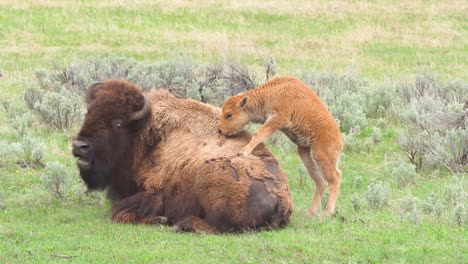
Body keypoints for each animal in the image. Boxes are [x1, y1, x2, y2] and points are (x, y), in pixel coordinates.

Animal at [72, 79, 292, 233]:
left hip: (210, 178)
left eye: (118, 123)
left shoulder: (153, 193)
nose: (79, 146)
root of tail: (281, 202)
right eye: (88, 113)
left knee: (219, 228)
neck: (148, 133)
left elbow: (120, 210)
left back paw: (181, 224)